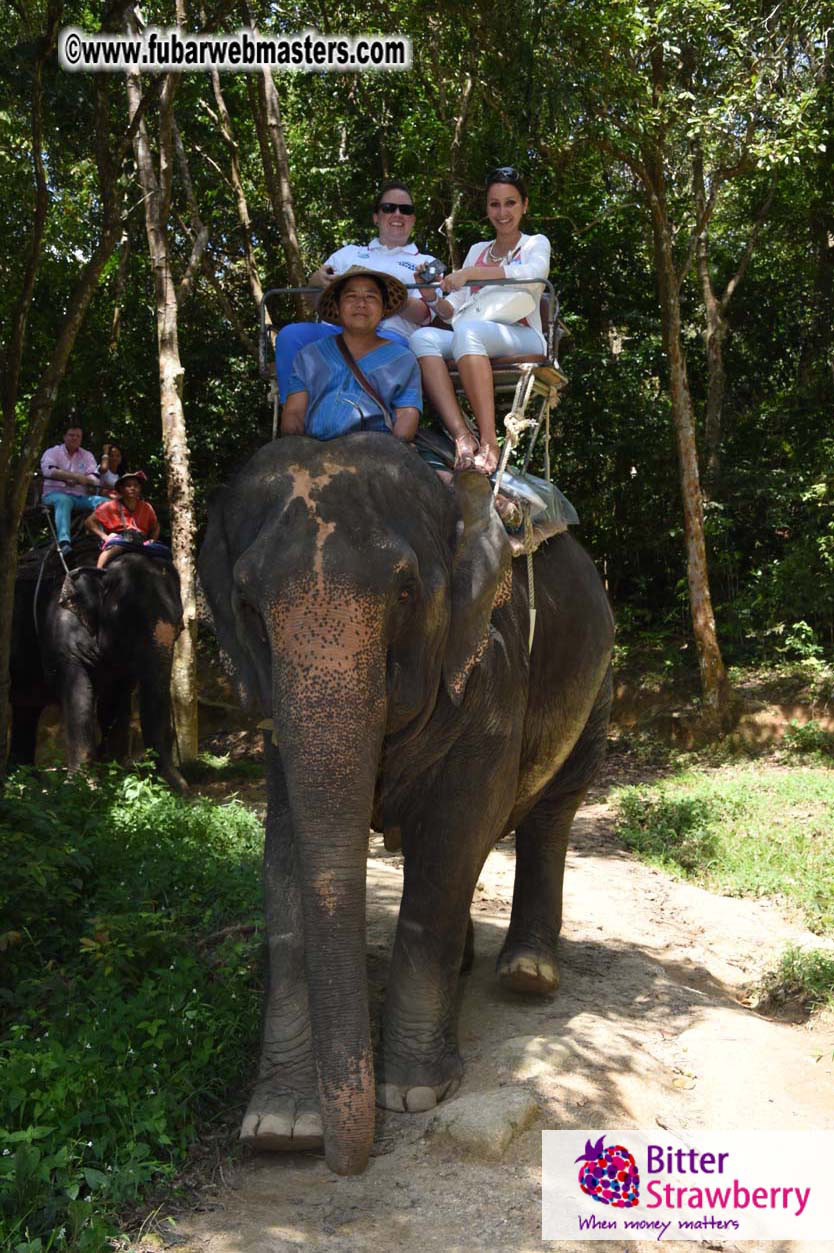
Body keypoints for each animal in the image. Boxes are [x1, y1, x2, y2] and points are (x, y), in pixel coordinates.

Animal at [10, 547, 186, 792]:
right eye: (129, 620)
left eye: (180, 627)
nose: (185, 790)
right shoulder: (62, 639)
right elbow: (78, 695)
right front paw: (83, 787)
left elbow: (114, 702)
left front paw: (114, 778)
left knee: (25, 708)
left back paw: (24, 780)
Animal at [199, 433, 614, 1176]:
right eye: (246, 603)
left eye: (403, 590)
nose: (348, 1166)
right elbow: (285, 856)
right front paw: (280, 1126)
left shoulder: (491, 663)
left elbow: (455, 836)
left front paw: (415, 1091)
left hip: (599, 676)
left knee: (552, 812)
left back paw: (527, 974)